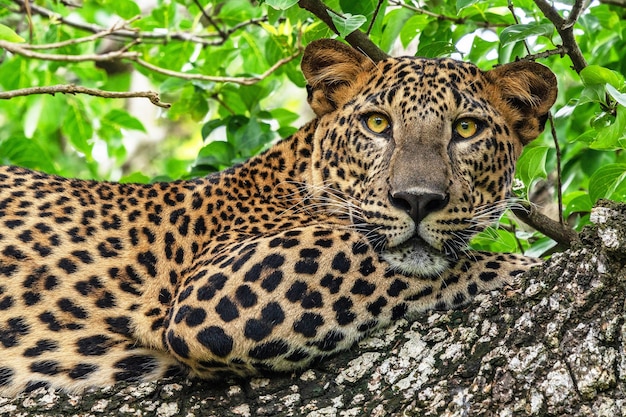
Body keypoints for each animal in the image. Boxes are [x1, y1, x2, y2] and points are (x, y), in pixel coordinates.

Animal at [0, 38, 556, 394]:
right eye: (378, 124)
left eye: (466, 129)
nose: (417, 200)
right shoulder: (217, 287)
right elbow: (412, 261)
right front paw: (533, 264)